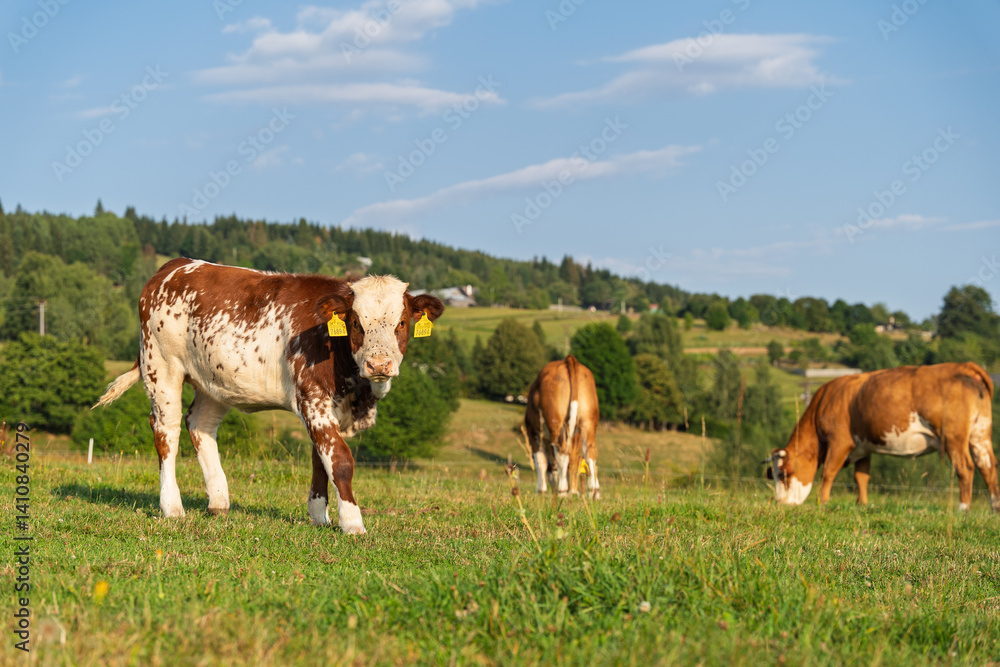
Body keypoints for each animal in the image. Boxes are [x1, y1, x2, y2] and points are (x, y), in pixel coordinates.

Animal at [94, 258, 444, 534]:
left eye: (402, 322)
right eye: (356, 322)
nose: (379, 364)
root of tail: (174, 266)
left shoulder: (330, 408)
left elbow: (321, 459)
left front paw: (319, 516)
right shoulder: (312, 398)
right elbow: (340, 460)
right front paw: (352, 522)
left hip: (214, 380)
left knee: (200, 425)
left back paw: (219, 501)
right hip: (161, 365)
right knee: (167, 431)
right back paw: (172, 506)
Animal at [523, 355, 601, 498]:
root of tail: (568, 359)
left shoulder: (533, 431)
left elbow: (540, 461)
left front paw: (540, 491)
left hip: (555, 423)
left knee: (562, 455)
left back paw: (562, 491)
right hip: (588, 422)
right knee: (590, 455)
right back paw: (594, 493)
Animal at [767, 362, 999, 512]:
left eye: (784, 474)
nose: (780, 503)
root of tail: (963, 365)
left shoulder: (840, 441)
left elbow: (828, 472)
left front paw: (821, 502)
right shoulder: (863, 447)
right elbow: (861, 477)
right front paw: (862, 504)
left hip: (953, 436)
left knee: (965, 467)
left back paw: (963, 507)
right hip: (980, 434)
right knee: (988, 466)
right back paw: (995, 506)